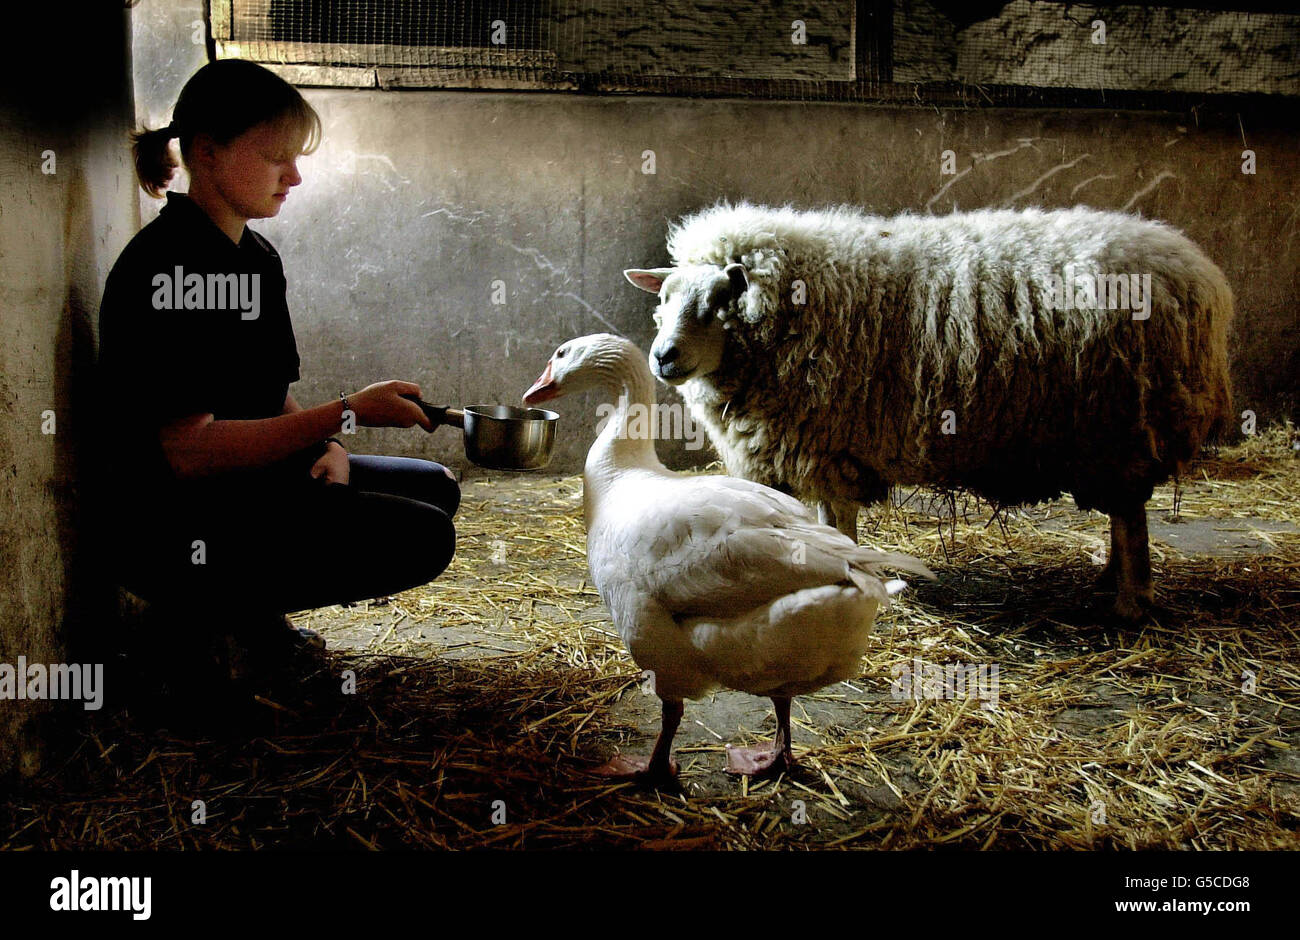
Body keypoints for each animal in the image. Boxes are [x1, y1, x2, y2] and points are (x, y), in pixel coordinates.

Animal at [624, 202, 1232, 621]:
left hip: (1121, 425)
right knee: (1124, 513)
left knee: (1130, 516)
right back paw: (1109, 577)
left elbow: (839, 521)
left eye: (717, 302)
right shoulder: (824, 446)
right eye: (664, 300)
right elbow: (825, 521)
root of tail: (1196, 271)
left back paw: (1131, 600)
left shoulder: (830, 441)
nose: (662, 357)